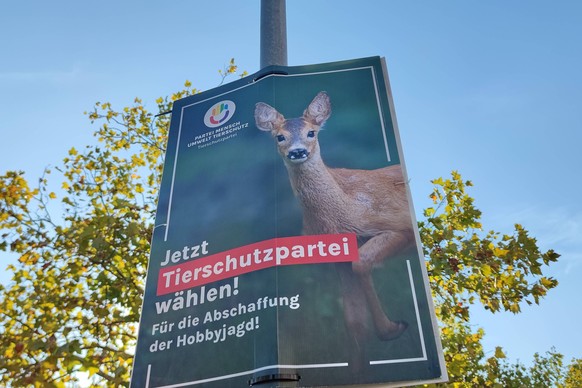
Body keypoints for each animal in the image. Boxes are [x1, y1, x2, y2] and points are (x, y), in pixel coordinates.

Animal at [258, 91, 418, 370]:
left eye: (311, 132)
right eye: (280, 136)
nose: (297, 151)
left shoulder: (398, 226)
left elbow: (362, 262)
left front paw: (393, 328)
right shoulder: (339, 259)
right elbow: (354, 323)